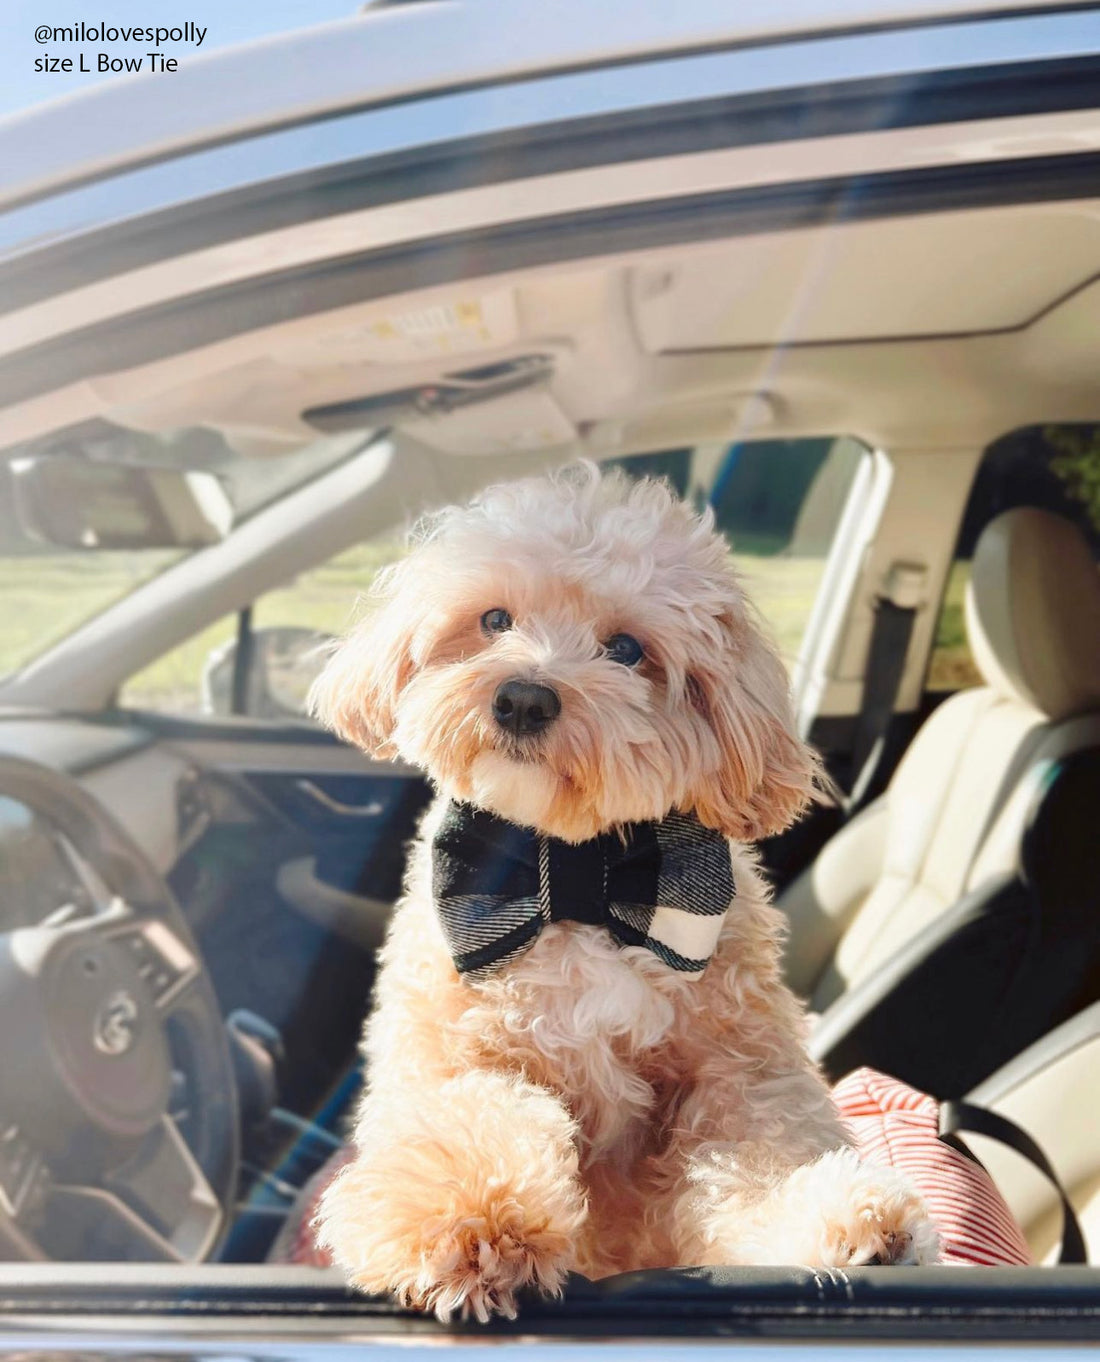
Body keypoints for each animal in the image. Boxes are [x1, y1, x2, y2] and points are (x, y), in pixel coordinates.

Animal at [309, 465, 936, 1318]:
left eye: (628, 650)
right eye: (494, 619)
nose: (524, 697)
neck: (580, 876)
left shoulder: (736, 1076)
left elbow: (756, 1160)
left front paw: (846, 1221)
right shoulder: (453, 1054)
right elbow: (472, 1118)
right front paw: (473, 1223)